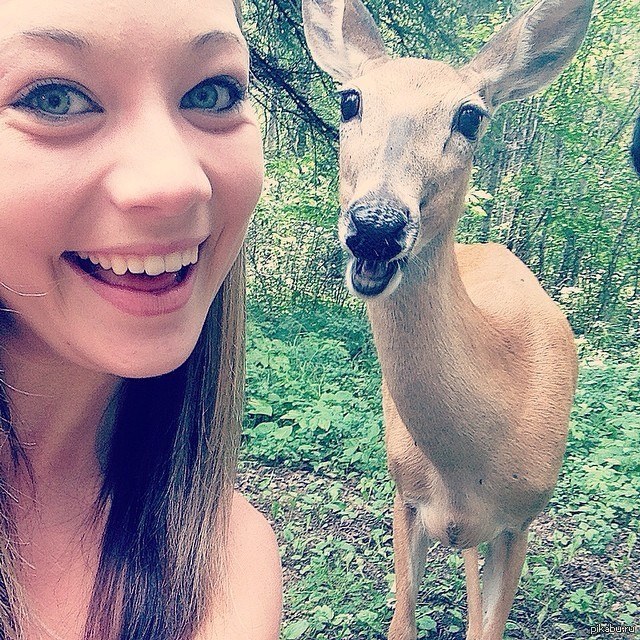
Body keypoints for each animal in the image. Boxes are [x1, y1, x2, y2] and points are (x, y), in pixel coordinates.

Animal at [302, 0, 592, 636]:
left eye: (470, 116)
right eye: (349, 99)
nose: (376, 225)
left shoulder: (520, 521)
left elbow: (490, 626)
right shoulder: (405, 497)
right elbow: (401, 622)